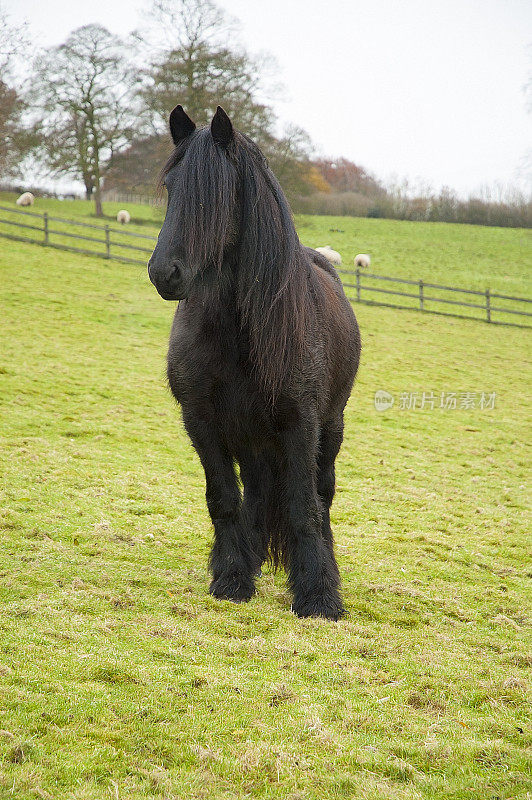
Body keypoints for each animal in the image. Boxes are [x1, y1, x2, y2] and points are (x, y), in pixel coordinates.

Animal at [148, 106, 360, 620]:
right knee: (259, 495)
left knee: (322, 494)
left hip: (329, 427)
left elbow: (305, 506)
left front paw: (319, 595)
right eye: (171, 187)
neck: (235, 329)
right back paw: (254, 558)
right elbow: (224, 500)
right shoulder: (202, 421)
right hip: (252, 439)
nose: (165, 273)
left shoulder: (301, 423)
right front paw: (231, 577)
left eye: (219, 193)